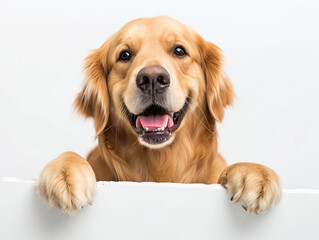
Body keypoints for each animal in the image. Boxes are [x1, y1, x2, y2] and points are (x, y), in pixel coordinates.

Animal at [38, 15, 282, 214]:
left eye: (179, 51)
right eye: (124, 55)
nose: (153, 78)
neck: (159, 165)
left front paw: (256, 174)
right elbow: (70, 155)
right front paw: (65, 173)